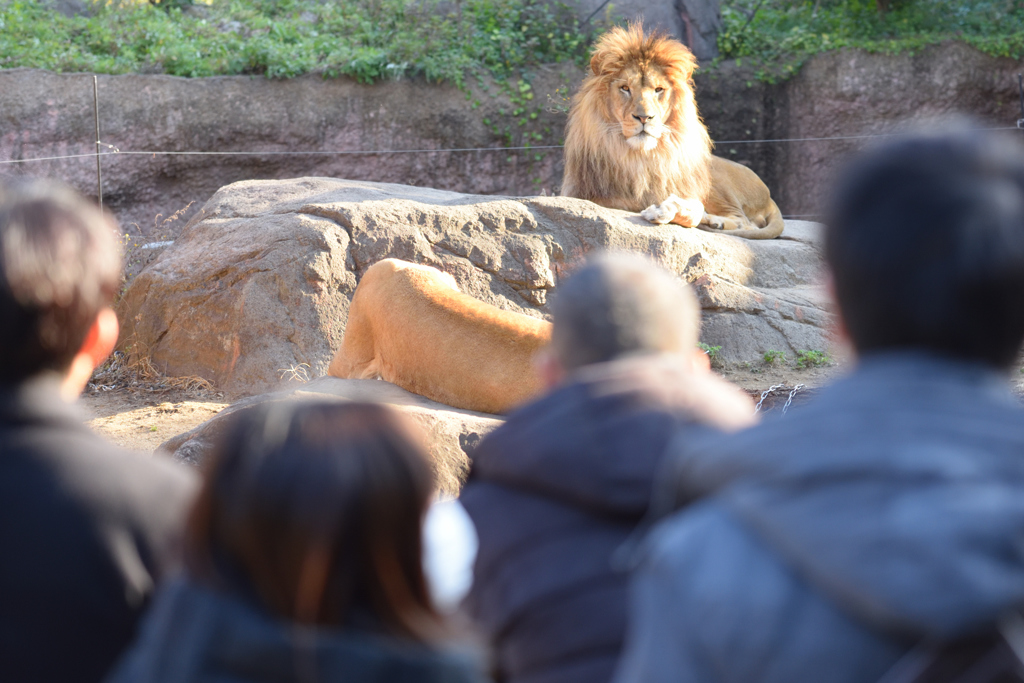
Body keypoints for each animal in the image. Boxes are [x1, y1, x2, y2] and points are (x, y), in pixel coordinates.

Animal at [561, 24, 782, 240]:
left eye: (659, 89)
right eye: (625, 88)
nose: (644, 117)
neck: (640, 158)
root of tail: (769, 196)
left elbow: (693, 207)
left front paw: (665, 210)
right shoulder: (587, 194)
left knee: (746, 221)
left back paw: (715, 221)